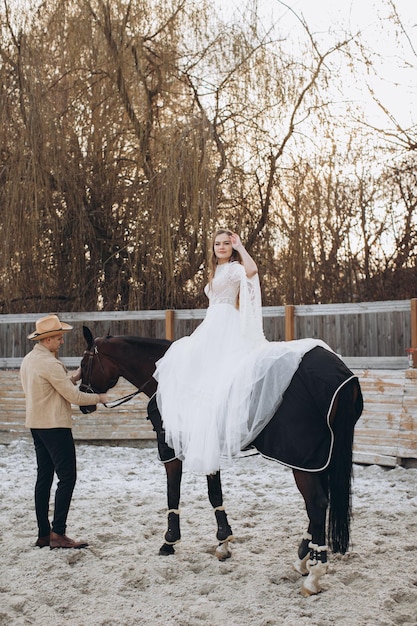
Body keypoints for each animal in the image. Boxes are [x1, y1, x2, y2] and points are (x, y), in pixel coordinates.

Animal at [79, 324, 360, 592]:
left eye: (83, 364)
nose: (83, 400)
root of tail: (340, 374)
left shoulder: (169, 448)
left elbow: (173, 493)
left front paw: (169, 540)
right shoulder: (207, 447)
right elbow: (215, 493)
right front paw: (223, 540)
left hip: (303, 461)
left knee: (317, 504)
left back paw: (314, 573)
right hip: (317, 460)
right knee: (319, 505)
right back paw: (303, 556)